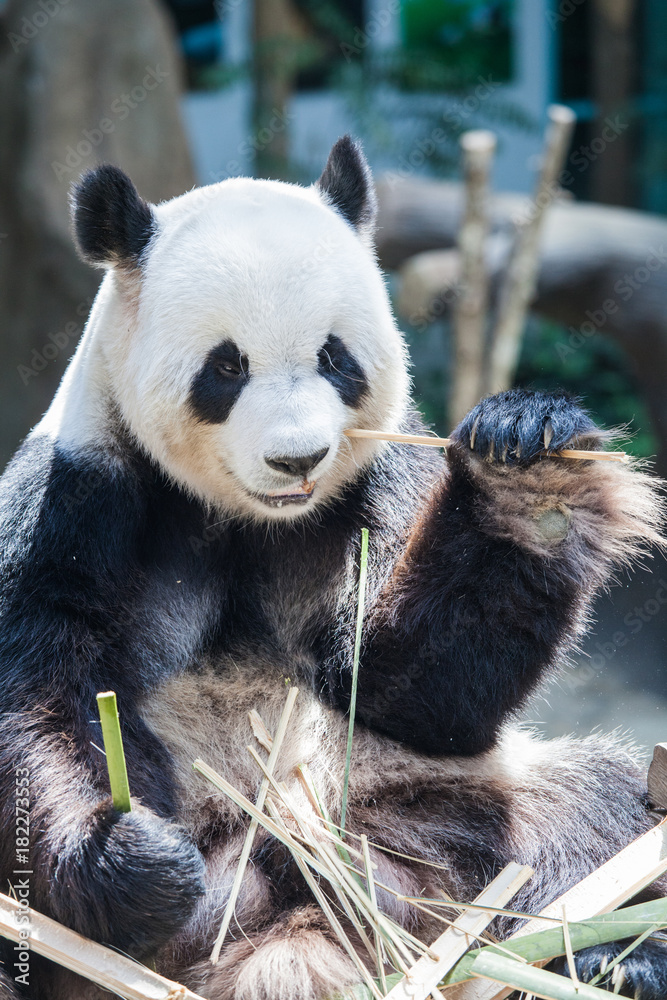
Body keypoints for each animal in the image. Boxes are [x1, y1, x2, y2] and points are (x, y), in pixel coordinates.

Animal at [1, 135, 667, 1000]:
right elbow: (43, 699)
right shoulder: (77, 500)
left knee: (592, 809)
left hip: (428, 801)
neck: (250, 519)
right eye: (225, 368)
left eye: (333, 357)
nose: (298, 458)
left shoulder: (377, 487)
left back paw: (617, 958)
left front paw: (526, 471)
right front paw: (131, 859)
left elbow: (412, 690)